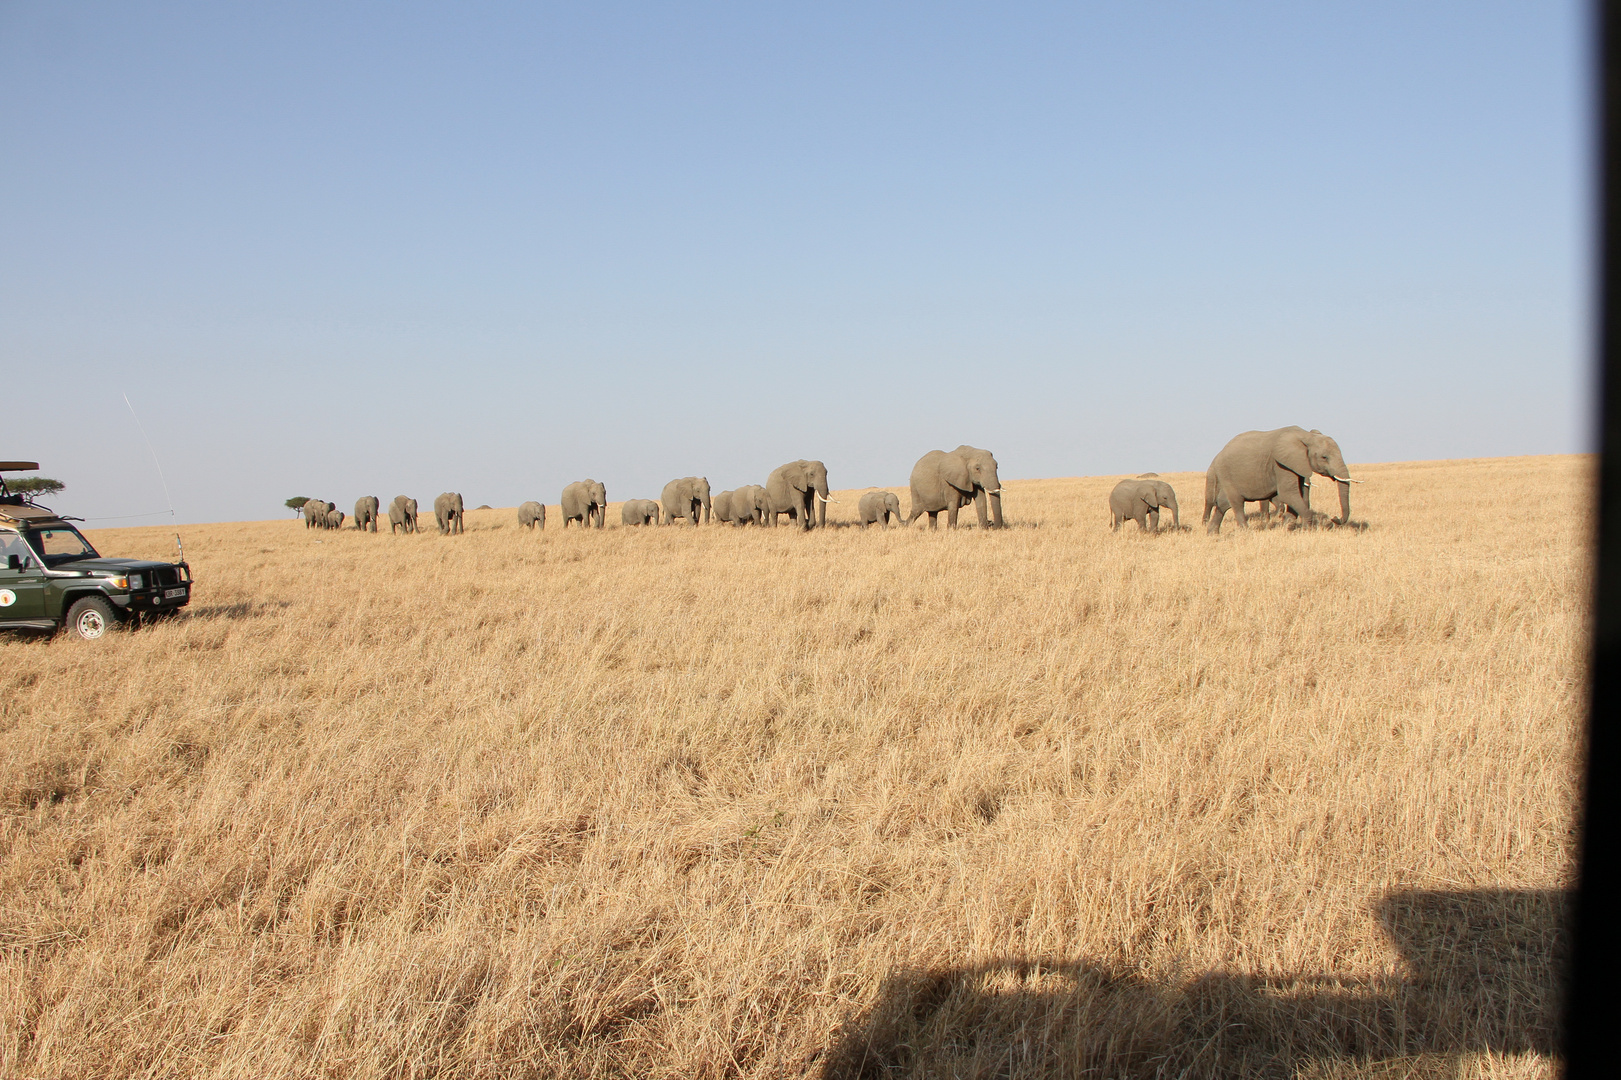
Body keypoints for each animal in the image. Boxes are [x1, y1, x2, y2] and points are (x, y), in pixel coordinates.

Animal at [1206, 424, 1355, 535]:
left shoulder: (1297, 465)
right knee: (1237, 502)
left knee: (1223, 503)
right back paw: (1246, 532)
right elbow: (1288, 493)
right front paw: (1308, 531)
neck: (1306, 436)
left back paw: (1212, 533)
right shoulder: (1281, 464)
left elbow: (1300, 494)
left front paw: (1287, 528)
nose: (1335, 518)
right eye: (1324, 457)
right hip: (1225, 472)